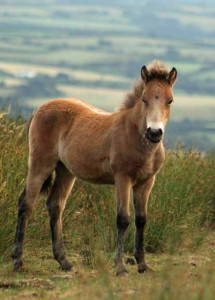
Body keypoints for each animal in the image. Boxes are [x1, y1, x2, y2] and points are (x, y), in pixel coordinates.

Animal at [12, 59, 176, 276]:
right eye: (144, 99)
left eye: (170, 100)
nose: (155, 132)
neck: (135, 136)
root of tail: (40, 108)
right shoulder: (122, 178)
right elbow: (123, 218)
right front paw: (120, 267)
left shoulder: (146, 182)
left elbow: (141, 220)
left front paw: (142, 265)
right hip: (40, 164)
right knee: (26, 203)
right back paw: (18, 260)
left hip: (65, 170)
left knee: (55, 205)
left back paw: (64, 261)